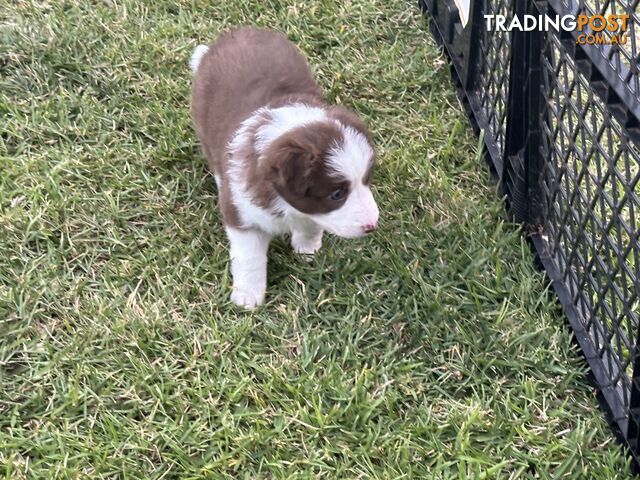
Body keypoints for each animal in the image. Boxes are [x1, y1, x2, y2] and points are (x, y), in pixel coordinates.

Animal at [190, 28, 380, 310]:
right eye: (337, 194)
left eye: (366, 181)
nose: (372, 226)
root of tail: (236, 32)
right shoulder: (243, 216)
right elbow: (249, 258)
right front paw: (248, 296)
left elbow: (311, 225)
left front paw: (307, 248)